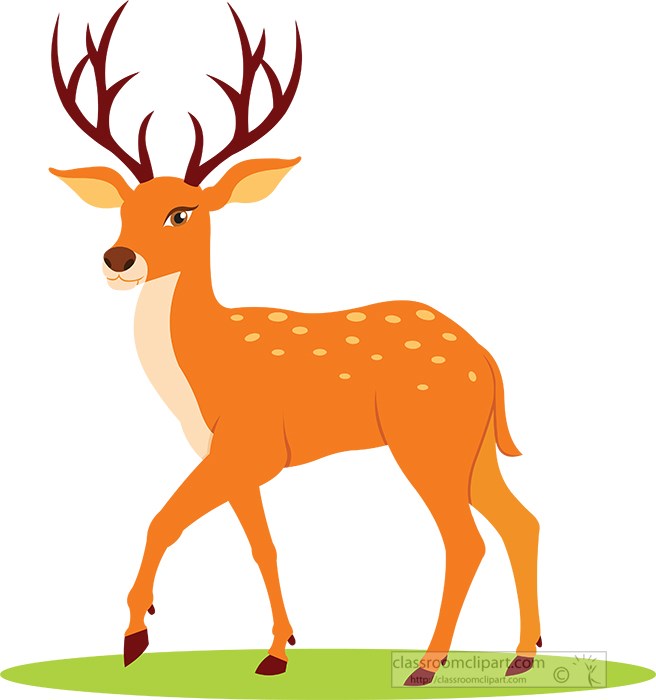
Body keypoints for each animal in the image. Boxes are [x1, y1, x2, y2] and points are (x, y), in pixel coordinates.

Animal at [49, 1, 542, 686]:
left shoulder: (249, 445)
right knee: (521, 521)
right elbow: (263, 545)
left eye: (183, 211)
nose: (118, 259)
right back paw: (522, 655)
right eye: (121, 208)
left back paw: (426, 666)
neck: (206, 368)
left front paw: (135, 635)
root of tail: (489, 361)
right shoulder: (233, 459)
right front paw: (279, 650)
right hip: (472, 445)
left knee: (466, 539)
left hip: (427, 438)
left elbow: (161, 519)